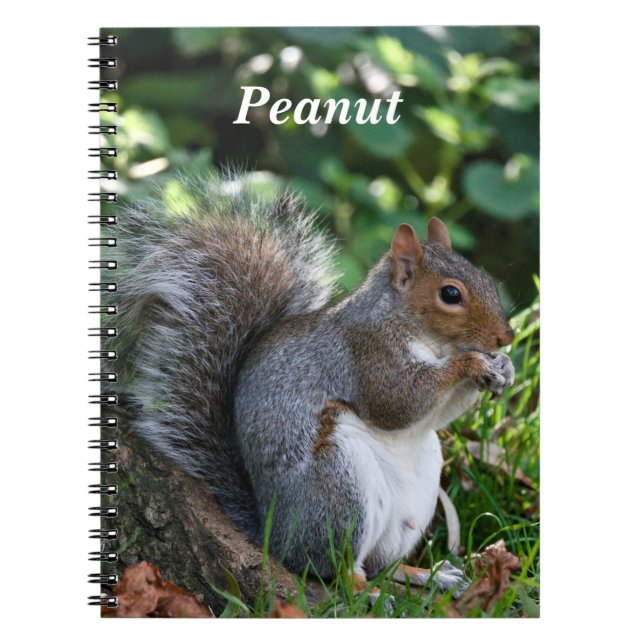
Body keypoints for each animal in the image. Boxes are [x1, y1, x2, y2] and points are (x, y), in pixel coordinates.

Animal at [111, 173, 515, 592]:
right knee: (338, 566)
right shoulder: (367, 353)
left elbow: (434, 416)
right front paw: (472, 363)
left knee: (381, 563)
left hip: (410, 503)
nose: (506, 337)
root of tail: (275, 534)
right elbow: (399, 402)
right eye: (450, 294)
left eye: (488, 279)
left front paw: (504, 367)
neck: (422, 334)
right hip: (338, 490)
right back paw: (367, 590)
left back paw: (425, 574)